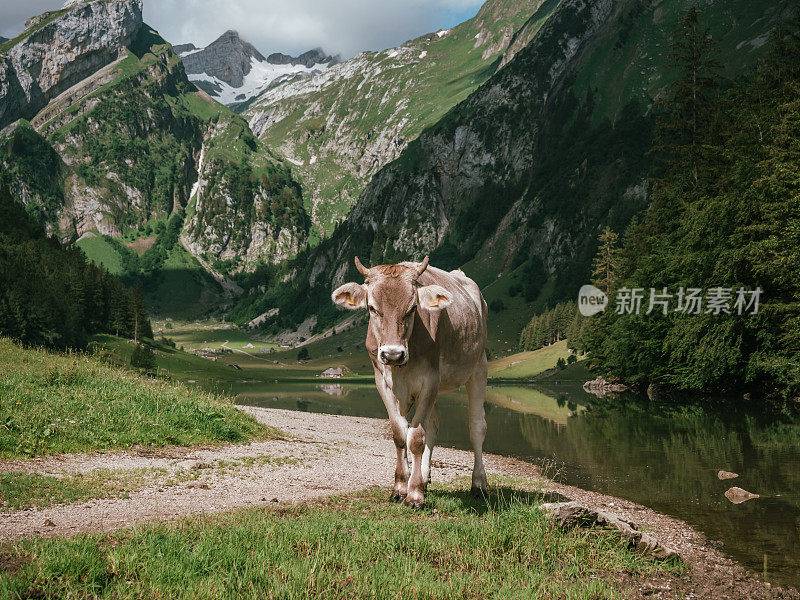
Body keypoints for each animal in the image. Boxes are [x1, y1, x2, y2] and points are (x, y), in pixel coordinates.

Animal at [332, 255, 488, 508]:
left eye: (413, 308)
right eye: (372, 308)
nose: (393, 354)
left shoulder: (430, 381)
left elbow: (415, 437)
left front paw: (414, 495)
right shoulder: (383, 382)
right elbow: (400, 434)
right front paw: (400, 487)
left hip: (479, 366)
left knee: (476, 426)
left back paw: (479, 484)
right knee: (434, 423)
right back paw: (423, 477)